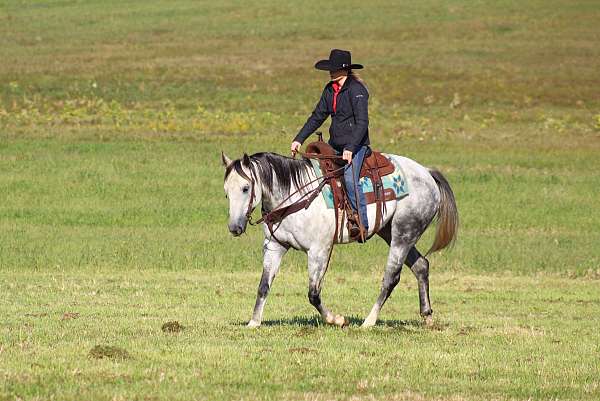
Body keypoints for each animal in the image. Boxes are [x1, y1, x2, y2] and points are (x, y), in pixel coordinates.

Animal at [221, 148, 460, 326]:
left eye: (245, 188)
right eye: (226, 192)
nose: (234, 227)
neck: (295, 196)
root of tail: (427, 173)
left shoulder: (319, 250)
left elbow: (313, 293)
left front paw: (337, 319)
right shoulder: (274, 246)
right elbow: (263, 286)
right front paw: (254, 322)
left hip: (403, 233)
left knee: (391, 278)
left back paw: (368, 322)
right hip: (390, 232)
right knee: (421, 266)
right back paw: (427, 316)